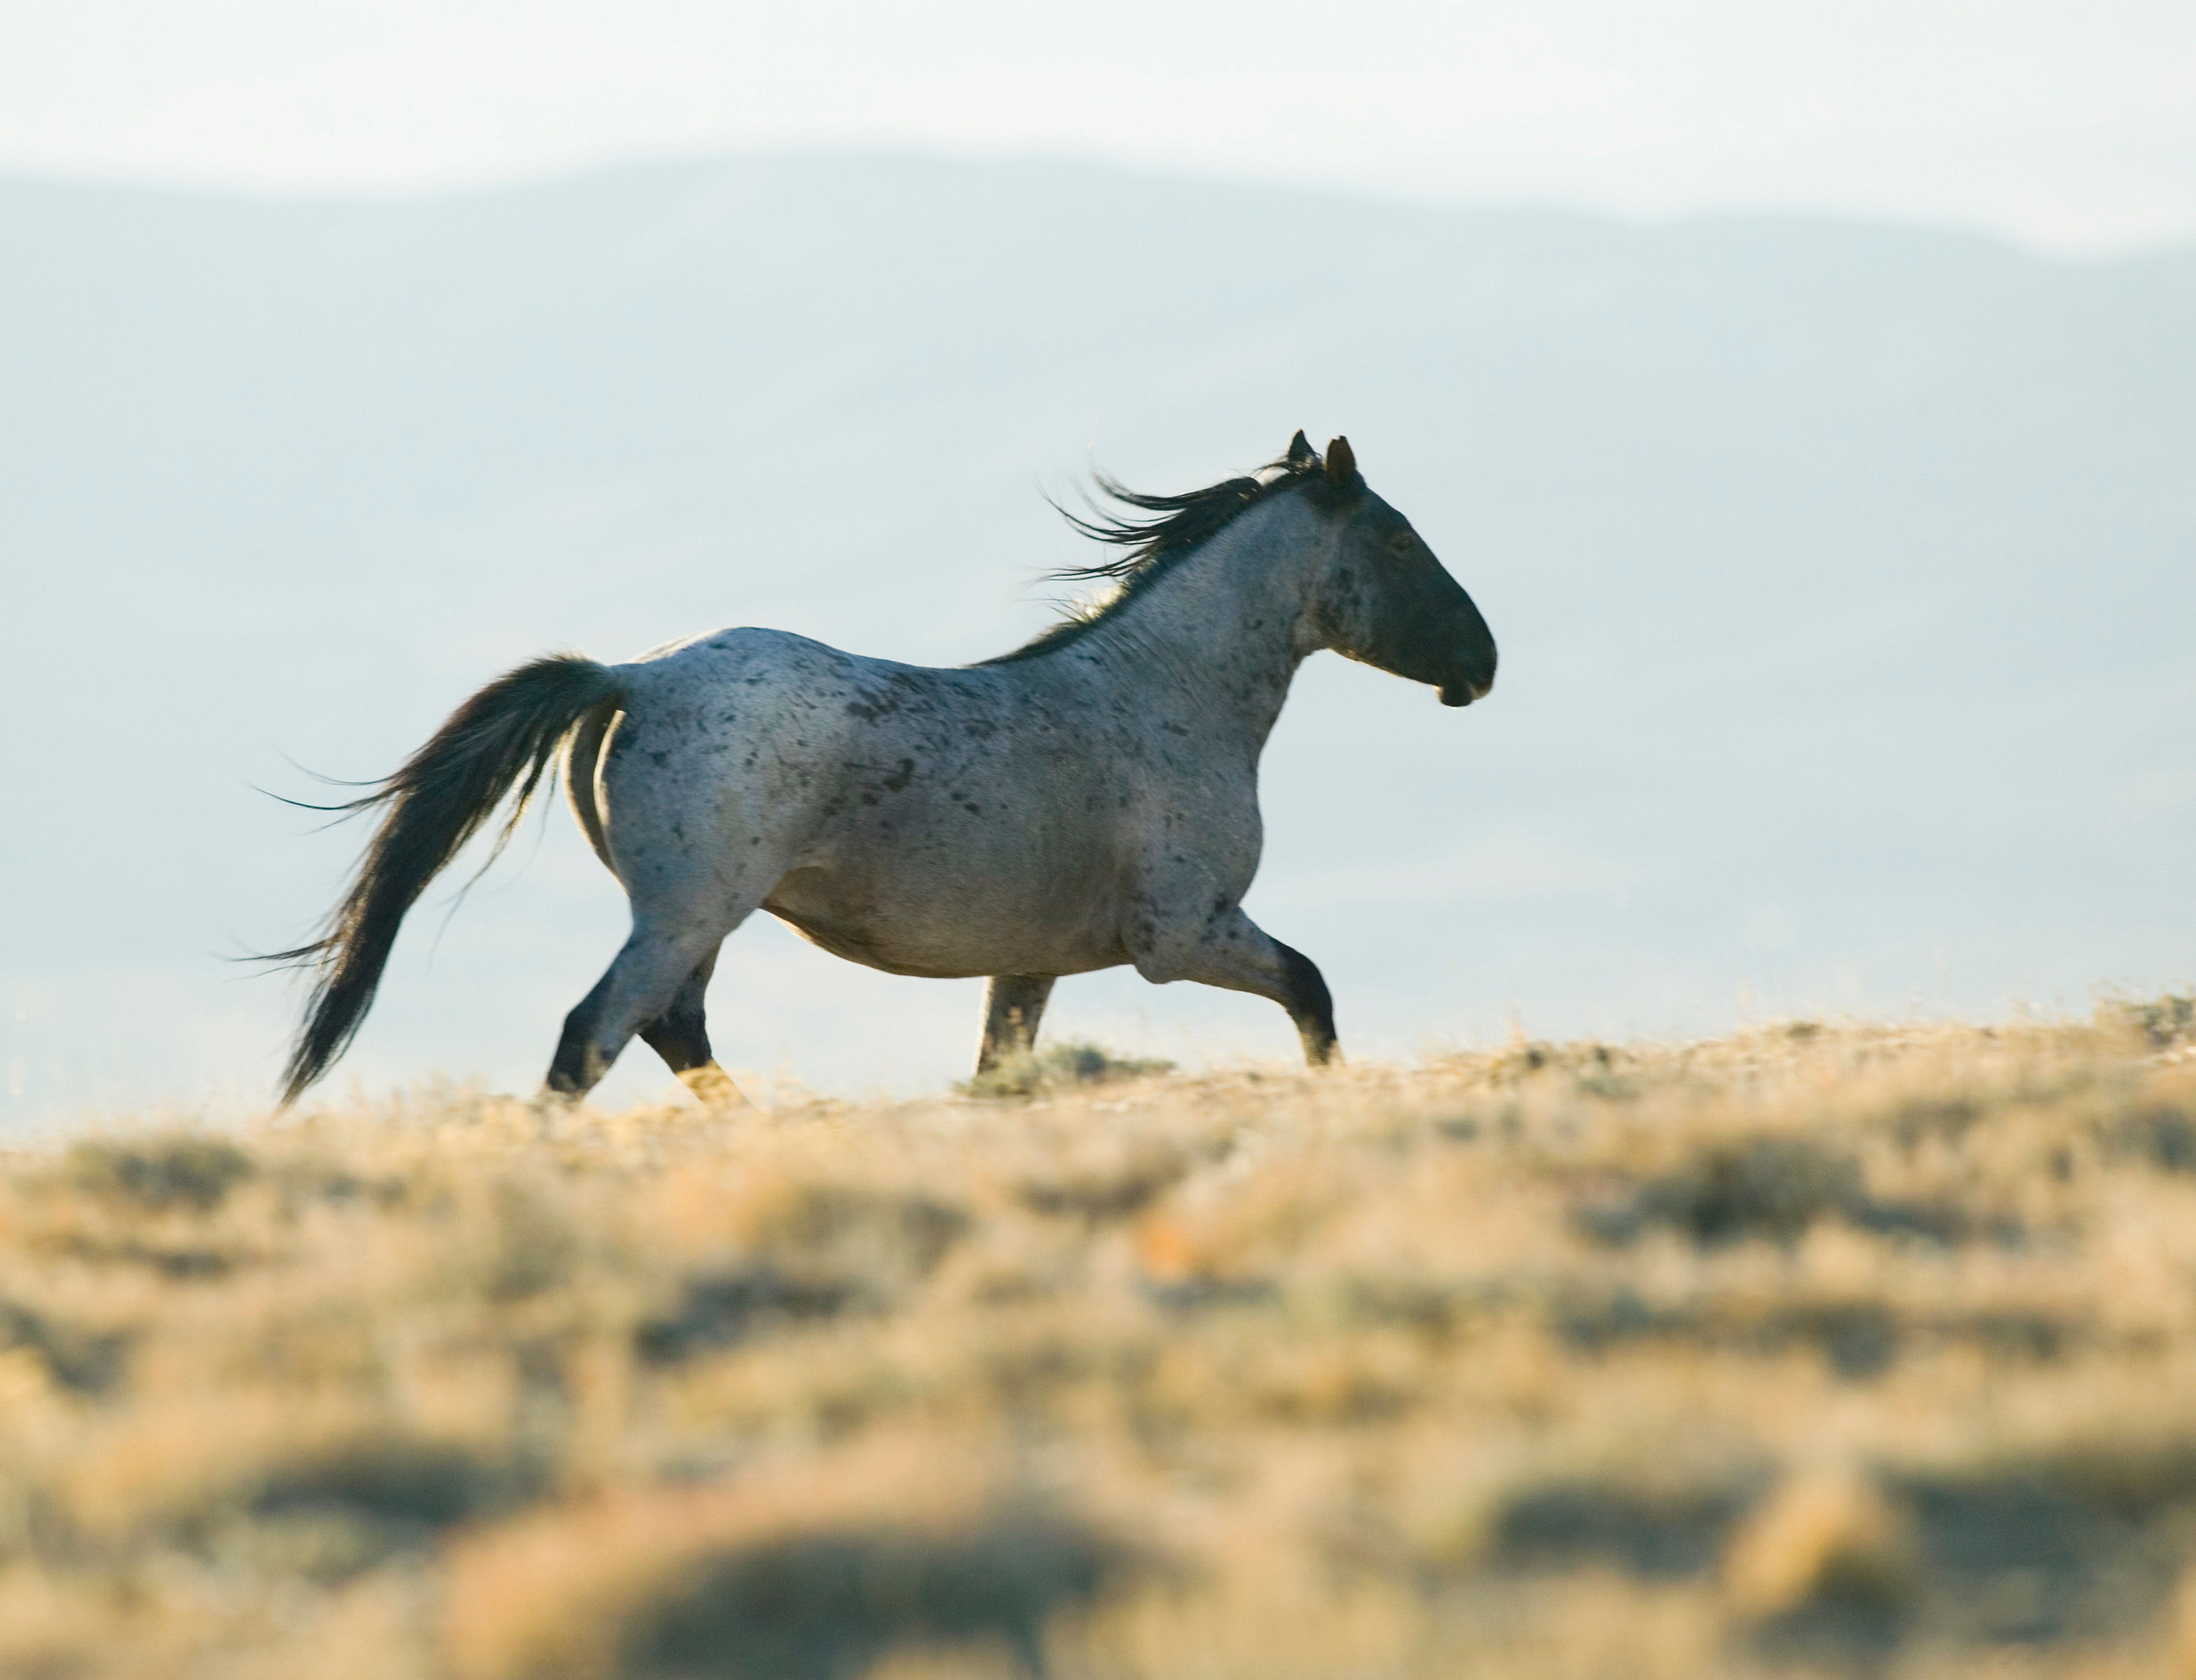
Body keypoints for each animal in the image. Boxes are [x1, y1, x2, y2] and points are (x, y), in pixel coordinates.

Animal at [270, 432, 1497, 1107]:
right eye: (1397, 537)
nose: (1482, 663)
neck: (1164, 694)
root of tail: (632, 675)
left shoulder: (1032, 964)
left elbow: (1000, 1073)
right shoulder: (1183, 934)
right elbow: (1313, 992)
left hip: (699, 920)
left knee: (672, 1031)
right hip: (689, 910)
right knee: (595, 1036)